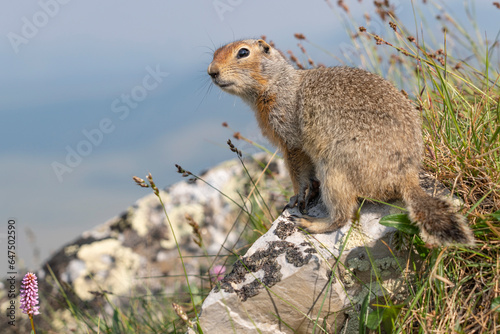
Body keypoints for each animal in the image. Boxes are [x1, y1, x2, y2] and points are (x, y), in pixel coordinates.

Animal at [207, 39, 472, 248]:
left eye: (243, 52)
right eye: (214, 53)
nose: (211, 71)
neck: (278, 84)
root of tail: (406, 176)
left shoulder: (290, 139)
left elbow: (297, 172)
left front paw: (295, 198)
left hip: (334, 169)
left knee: (344, 214)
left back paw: (311, 223)